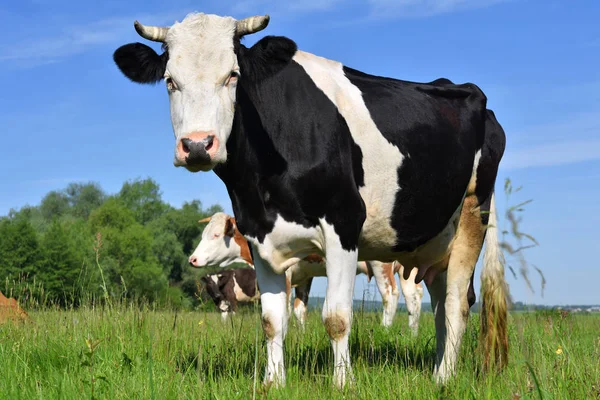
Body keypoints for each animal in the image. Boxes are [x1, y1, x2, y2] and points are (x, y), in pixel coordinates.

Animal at [190, 212, 424, 334]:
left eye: (216, 235)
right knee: (413, 297)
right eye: (203, 234)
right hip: (410, 270)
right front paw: (301, 335)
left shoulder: (285, 274)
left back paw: (385, 329)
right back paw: (412, 332)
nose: (192, 259)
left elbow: (284, 309)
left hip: (381, 263)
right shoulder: (304, 276)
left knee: (390, 294)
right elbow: (299, 309)